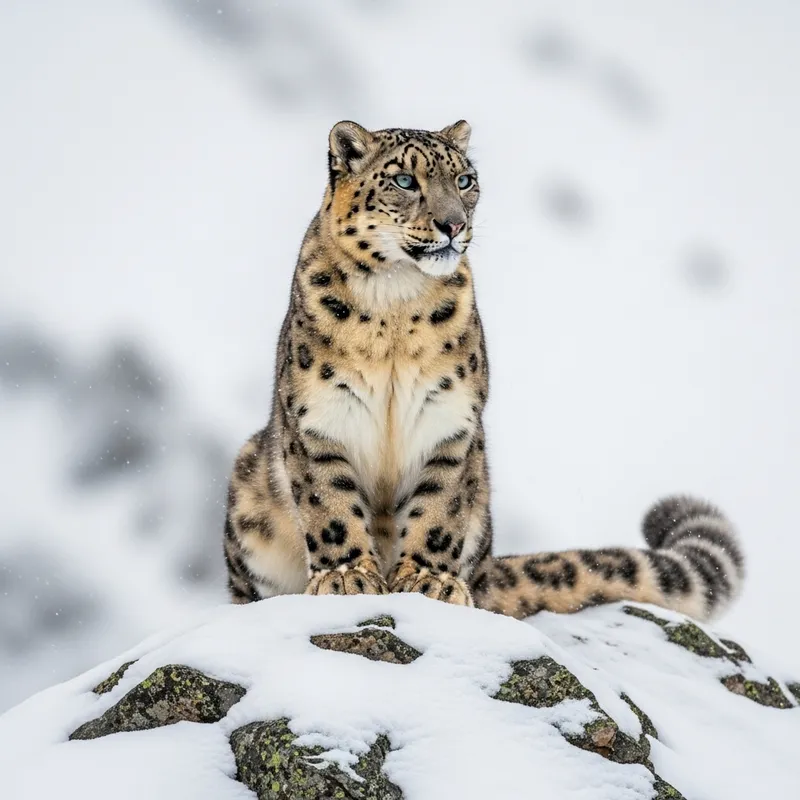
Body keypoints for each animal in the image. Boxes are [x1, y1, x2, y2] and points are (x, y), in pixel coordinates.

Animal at [223, 120, 744, 622]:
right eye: (405, 180)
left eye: (464, 180)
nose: (453, 223)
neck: (394, 304)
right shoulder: (319, 416)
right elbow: (329, 502)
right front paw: (347, 576)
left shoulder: (449, 419)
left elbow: (439, 508)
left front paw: (429, 581)